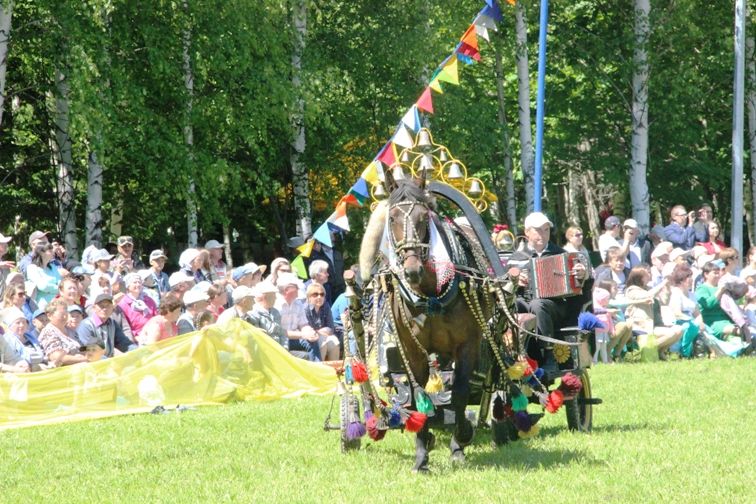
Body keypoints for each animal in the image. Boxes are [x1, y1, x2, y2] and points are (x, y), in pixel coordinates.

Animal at [358, 171, 494, 470]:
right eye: (392, 218)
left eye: (423, 217)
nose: (411, 270)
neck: (431, 295)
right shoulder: (411, 348)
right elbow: (417, 393)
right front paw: (422, 451)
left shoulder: (467, 345)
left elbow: (460, 393)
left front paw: (460, 442)